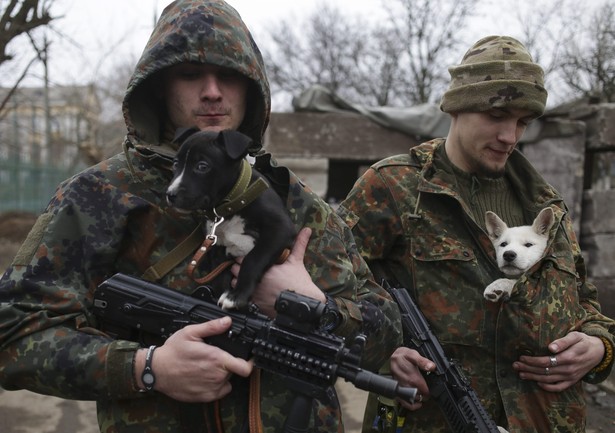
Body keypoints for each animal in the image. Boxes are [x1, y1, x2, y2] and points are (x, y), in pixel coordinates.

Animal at [166, 126, 296, 308]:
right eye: (175, 164)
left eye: (202, 166)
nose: (170, 194)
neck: (228, 206)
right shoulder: (218, 249)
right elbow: (220, 278)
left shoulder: (280, 229)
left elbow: (252, 259)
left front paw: (236, 296)